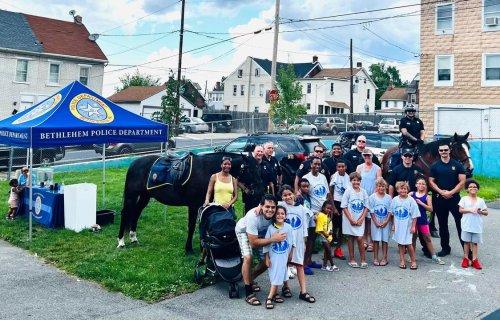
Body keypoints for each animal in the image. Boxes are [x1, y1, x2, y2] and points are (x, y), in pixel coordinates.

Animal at [116, 151, 262, 254]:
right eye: (250, 170)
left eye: (258, 168)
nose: (259, 190)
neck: (206, 170)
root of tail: (134, 163)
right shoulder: (193, 205)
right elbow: (192, 226)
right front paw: (189, 248)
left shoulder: (203, 205)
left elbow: (202, 224)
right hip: (131, 196)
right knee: (125, 213)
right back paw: (121, 242)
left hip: (145, 196)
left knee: (136, 213)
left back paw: (134, 238)